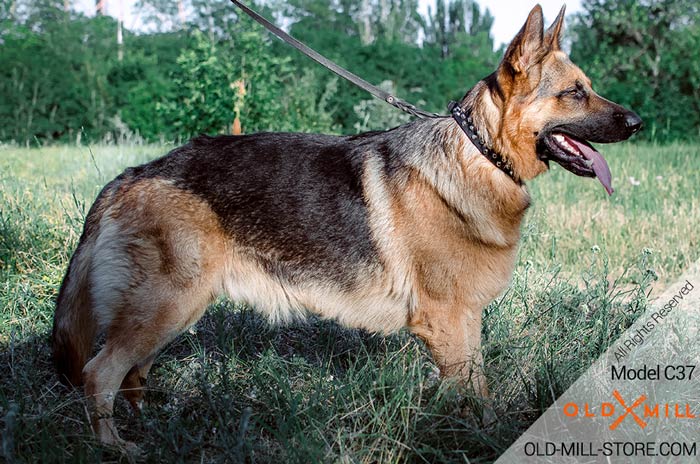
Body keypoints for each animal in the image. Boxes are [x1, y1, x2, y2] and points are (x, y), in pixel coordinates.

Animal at [52, 4, 644, 450]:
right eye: (575, 93)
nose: (638, 123)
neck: (479, 154)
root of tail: (131, 176)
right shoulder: (449, 322)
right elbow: (479, 398)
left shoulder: (463, 323)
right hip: (164, 308)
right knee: (100, 374)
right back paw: (115, 447)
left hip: (172, 312)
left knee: (131, 377)